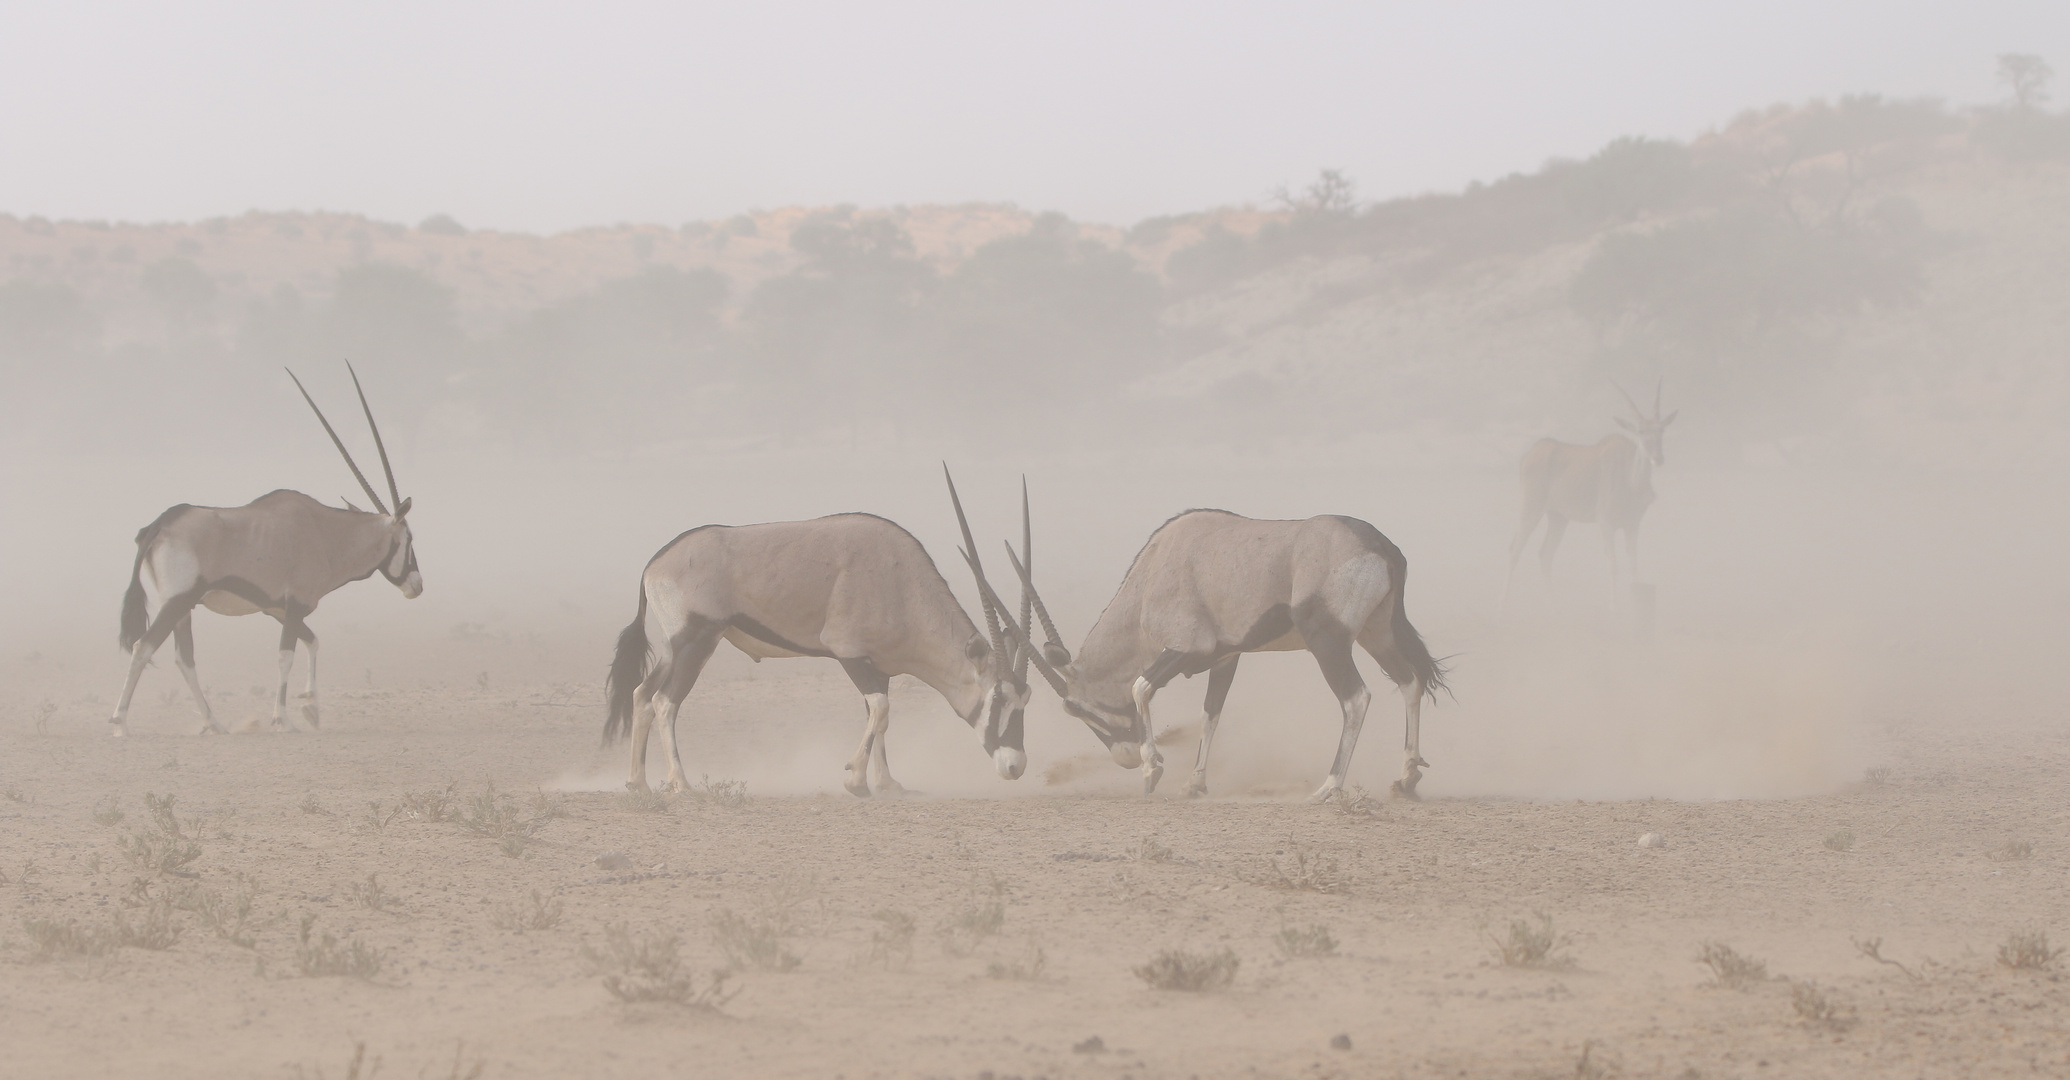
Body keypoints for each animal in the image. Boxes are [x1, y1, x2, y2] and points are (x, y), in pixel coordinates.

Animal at [111, 366, 426, 736]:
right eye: (409, 538)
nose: (417, 585)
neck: (326, 533)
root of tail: (161, 523)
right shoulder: (293, 607)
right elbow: (285, 655)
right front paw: (283, 718)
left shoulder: (277, 609)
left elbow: (313, 641)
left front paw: (311, 709)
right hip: (178, 601)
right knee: (143, 647)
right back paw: (120, 722)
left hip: (183, 606)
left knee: (183, 658)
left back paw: (214, 723)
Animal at [604, 465, 1043, 794]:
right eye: (998, 699)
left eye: (1026, 700)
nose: (1016, 765)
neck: (901, 582)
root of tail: (654, 564)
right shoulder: (849, 652)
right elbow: (880, 709)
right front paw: (855, 781)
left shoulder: (879, 666)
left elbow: (880, 715)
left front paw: (888, 783)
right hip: (697, 641)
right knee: (665, 701)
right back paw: (682, 784)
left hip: (672, 648)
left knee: (641, 695)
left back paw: (638, 783)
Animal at [972, 506, 1449, 798]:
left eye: (1076, 709)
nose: (1124, 758)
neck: (1150, 577)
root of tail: (1380, 545)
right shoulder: (1224, 658)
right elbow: (1210, 714)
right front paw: (1194, 784)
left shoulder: (1185, 648)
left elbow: (1141, 687)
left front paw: (1152, 770)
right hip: (1376, 633)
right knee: (1409, 681)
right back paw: (1406, 778)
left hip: (1328, 642)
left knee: (1356, 698)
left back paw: (1330, 786)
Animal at [1506, 380, 1680, 595]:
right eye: (1640, 431)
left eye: (1661, 430)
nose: (1658, 458)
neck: (1629, 483)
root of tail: (1528, 454)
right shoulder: (1605, 522)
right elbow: (1613, 566)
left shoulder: (1632, 525)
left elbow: (1634, 567)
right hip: (1531, 508)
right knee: (1514, 549)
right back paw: (1502, 603)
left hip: (1558, 516)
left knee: (1545, 554)